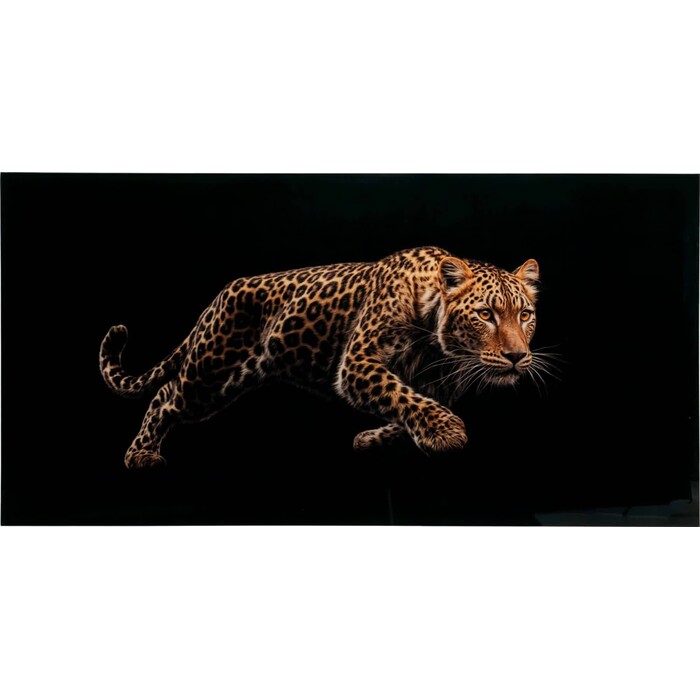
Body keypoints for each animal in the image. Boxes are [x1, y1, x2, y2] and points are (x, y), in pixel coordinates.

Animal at [99, 246, 541, 468]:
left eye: (524, 315)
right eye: (485, 314)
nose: (518, 356)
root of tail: (220, 295)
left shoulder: (438, 383)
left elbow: (410, 404)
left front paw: (371, 439)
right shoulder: (358, 363)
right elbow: (400, 394)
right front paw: (446, 431)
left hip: (226, 379)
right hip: (209, 369)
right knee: (165, 396)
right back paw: (139, 454)